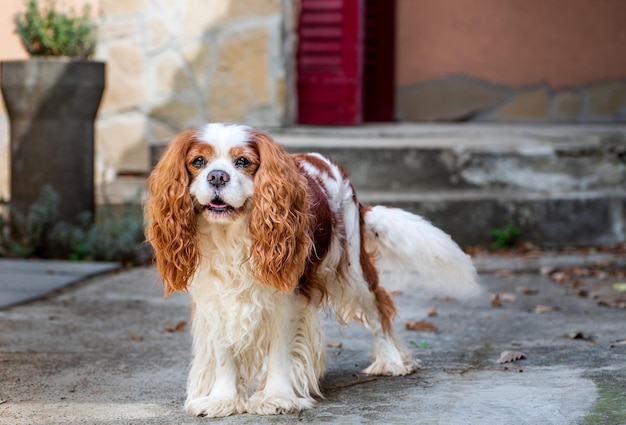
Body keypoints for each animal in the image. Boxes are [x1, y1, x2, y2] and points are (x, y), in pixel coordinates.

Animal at [145, 122, 478, 418]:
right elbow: (224, 351)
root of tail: (327, 162)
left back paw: (391, 361)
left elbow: (280, 349)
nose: (216, 176)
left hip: (353, 272)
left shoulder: (288, 297)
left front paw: (276, 397)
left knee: (378, 310)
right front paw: (222, 400)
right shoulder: (214, 298)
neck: (232, 236)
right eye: (198, 162)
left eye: (243, 162)